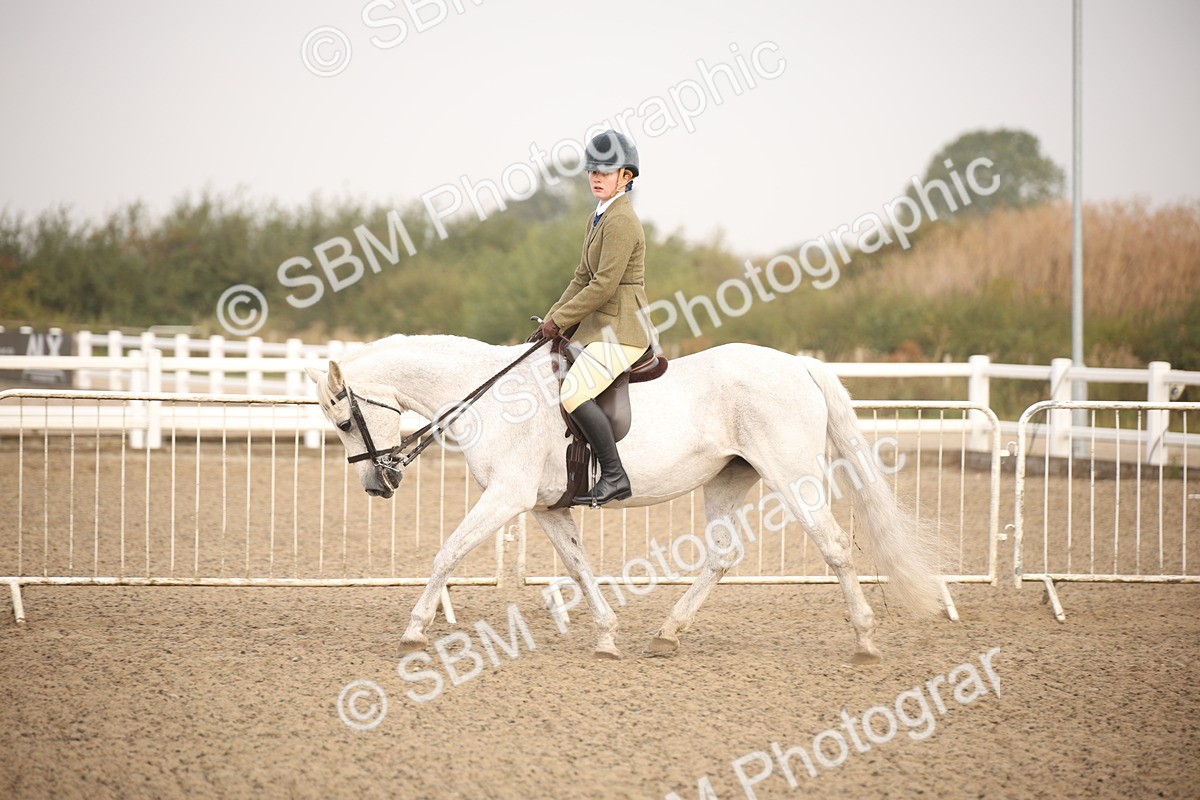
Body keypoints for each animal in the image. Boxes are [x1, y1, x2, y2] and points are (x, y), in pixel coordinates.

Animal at [305, 334, 943, 662]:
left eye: (343, 421)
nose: (377, 485)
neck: (491, 394)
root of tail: (799, 364)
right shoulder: (546, 508)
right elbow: (579, 568)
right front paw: (608, 636)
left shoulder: (506, 499)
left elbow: (447, 553)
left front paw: (414, 631)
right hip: (729, 478)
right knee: (722, 556)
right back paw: (667, 634)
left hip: (793, 475)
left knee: (833, 545)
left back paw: (865, 640)